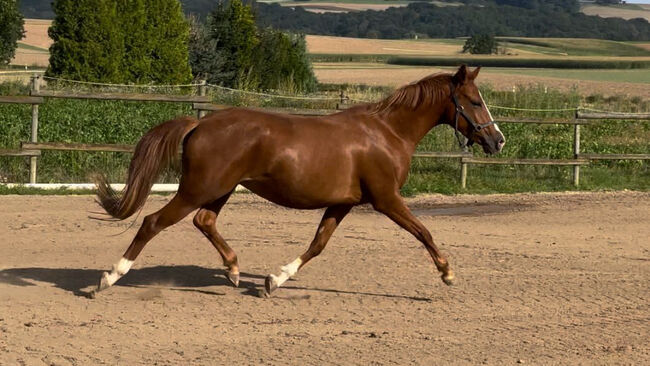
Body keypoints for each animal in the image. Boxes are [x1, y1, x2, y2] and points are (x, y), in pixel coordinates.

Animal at [93, 66, 504, 298]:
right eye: (474, 101)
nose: (498, 140)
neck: (387, 132)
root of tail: (199, 123)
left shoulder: (343, 203)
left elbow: (318, 244)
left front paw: (274, 280)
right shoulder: (387, 199)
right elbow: (423, 231)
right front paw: (447, 273)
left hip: (219, 189)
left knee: (204, 221)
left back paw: (234, 271)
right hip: (198, 189)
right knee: (153, 222)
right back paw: (110, 277)